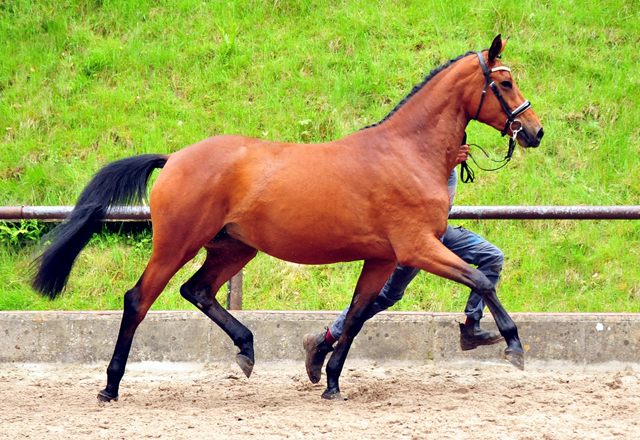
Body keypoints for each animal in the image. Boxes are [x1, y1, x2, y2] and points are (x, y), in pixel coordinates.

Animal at [32, 36, 544, 402]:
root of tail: (174, 158)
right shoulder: (417, 248)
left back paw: (246, 350)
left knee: (197, 290)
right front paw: (514, 346)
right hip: (176, 244)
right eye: (505, 83)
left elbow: (357, 316)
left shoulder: (382, 258)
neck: (406, 153)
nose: (535, 131)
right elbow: (480, 279)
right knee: (138, 299)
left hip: (234, 247)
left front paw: (330, 380)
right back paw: (110, 386)